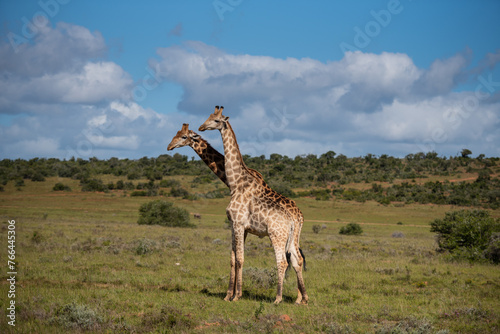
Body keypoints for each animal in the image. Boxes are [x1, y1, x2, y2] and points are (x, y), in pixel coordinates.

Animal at [199, 105, 308, 304]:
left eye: (217, 120)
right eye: (208, 116)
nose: (201, 127)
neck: (236, 183)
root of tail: (294, 219)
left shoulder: (238, 223)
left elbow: (239, 259)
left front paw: (236, 296)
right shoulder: (236, 225)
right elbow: (234, 258)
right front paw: (231, 294)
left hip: (277, 236)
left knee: (283, 262)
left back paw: (278, 298)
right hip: (291, 238)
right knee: (296, 260)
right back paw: (303, 299)